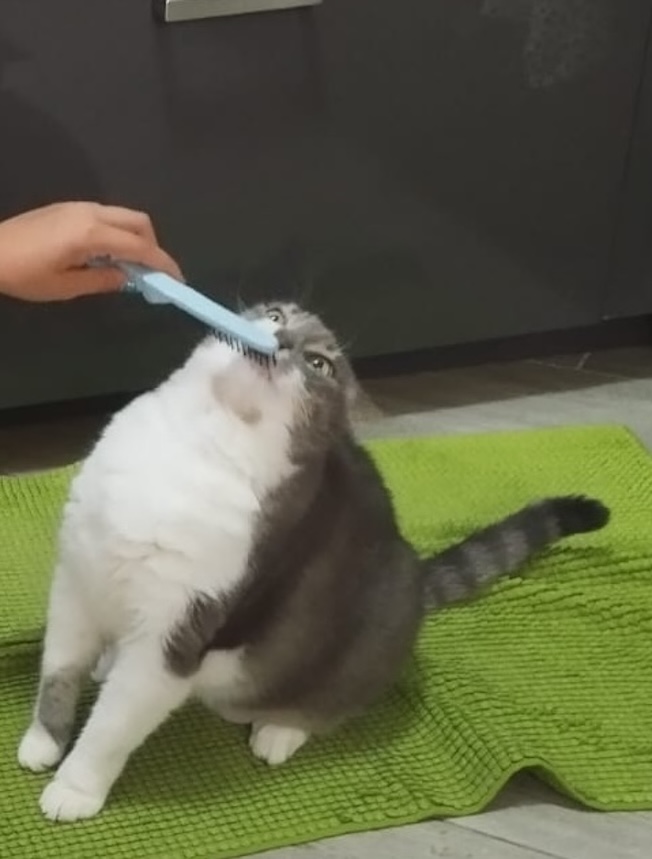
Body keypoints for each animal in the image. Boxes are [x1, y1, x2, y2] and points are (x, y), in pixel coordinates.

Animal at [17, 302, 609, 822]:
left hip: (364, 640)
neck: (194, 446)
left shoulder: (175, 638)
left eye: (319, 363)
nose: (280, 339)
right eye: (277, 315)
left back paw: (279, 730)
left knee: (330, 703)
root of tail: (414, 573)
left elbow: (111, 726)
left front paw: (75, 788)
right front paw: (43, 741)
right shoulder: (75, 581)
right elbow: (58, 674)